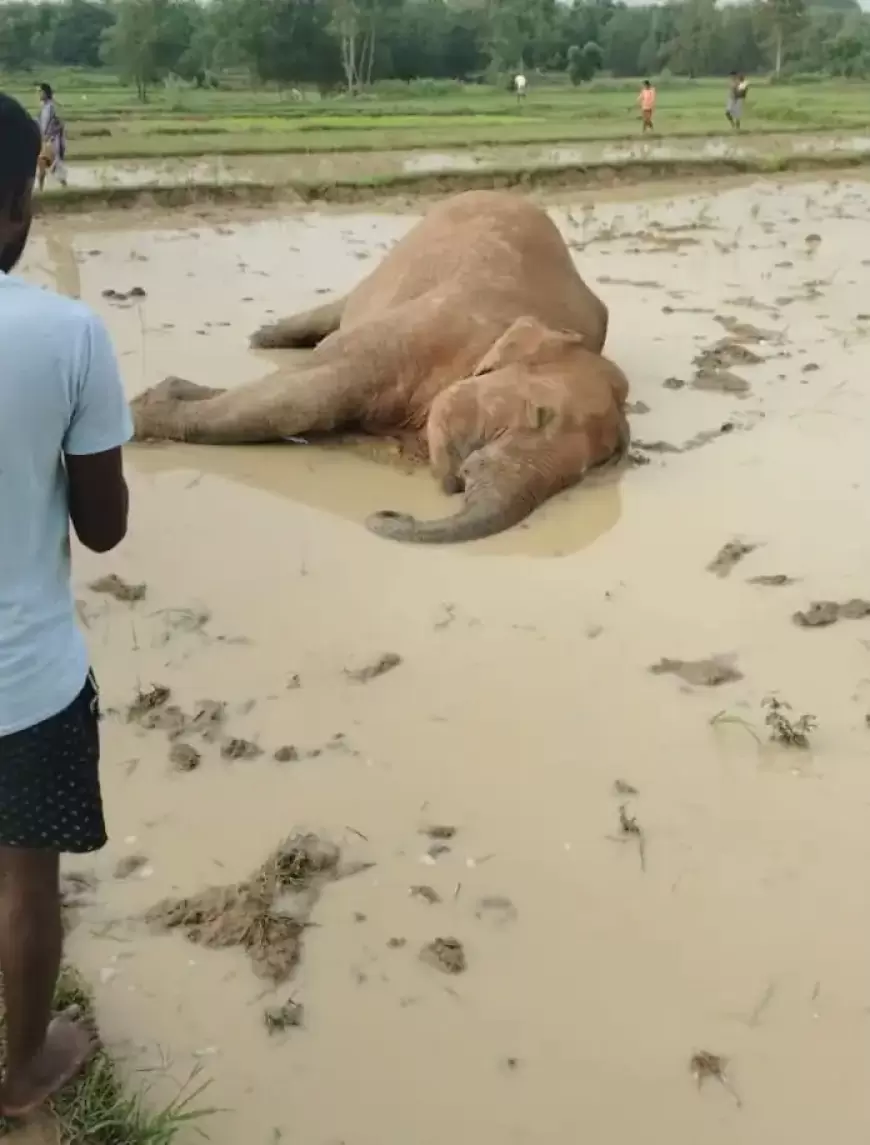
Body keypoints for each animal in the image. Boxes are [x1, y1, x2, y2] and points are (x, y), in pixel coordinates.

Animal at [131, 188, 631, 545]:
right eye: (538, 415)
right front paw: (141, 414)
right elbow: (301, 400)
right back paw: (264, 337)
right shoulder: (429, 326)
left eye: (587, 471)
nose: (386, 511)